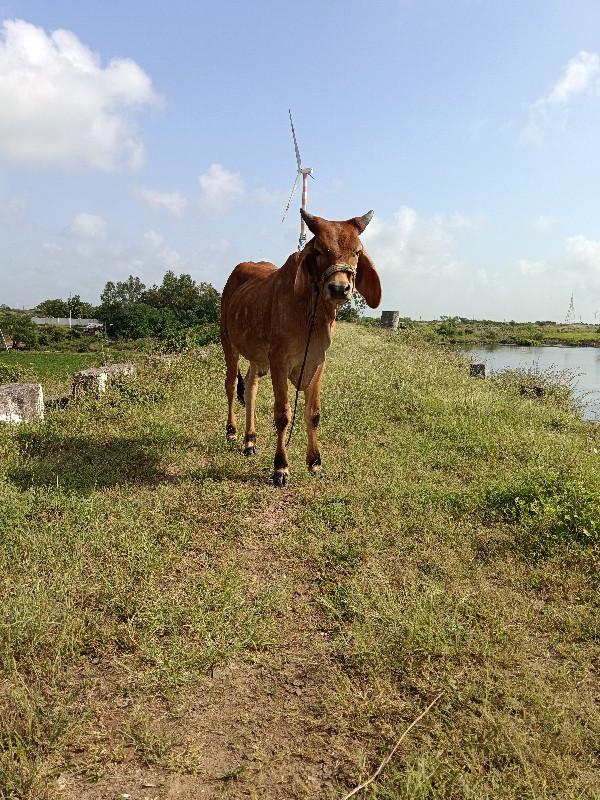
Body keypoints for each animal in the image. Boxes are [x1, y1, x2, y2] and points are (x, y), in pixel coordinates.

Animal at [219, 209, 380, 488]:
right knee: (231, 385)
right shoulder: (279, 361)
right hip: (229, 343)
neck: (312, 313)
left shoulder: (317, 361)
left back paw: (250, 441)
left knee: (250, 387)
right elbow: (283, 414)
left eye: (357, 252)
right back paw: (232, 432)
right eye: (318, 251)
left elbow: (313, 413)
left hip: (257, 358)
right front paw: (281, 468)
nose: (339, 288)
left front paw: (315, 463)